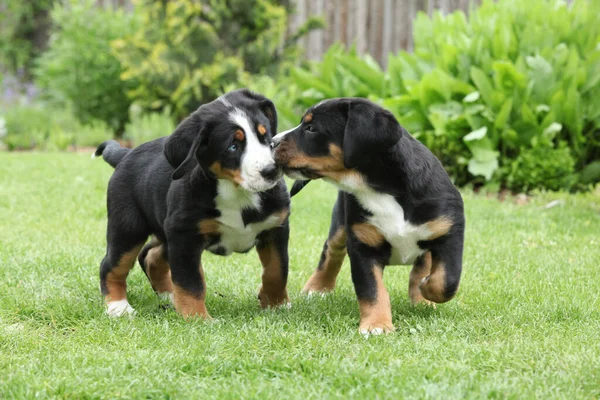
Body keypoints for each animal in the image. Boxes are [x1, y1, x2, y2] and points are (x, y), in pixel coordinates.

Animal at [94, 88, 290, 318]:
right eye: (233, 147)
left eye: (265, 136)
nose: (272, 170)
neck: (238, 193)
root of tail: (126, 153)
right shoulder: (184, 235)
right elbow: (190, 281)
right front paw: (197, 317)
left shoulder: (276, 227)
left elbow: (277, 270)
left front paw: (277, 304)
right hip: (128, 228)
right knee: (112, 265)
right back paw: (118, 306)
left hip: (164, 230)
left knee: (150, 255)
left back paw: (169, 296)